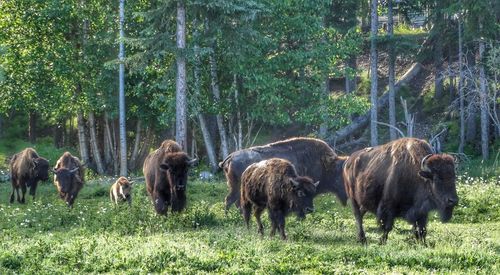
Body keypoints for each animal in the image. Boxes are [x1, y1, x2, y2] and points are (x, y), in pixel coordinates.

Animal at [219, 138, 348, 213]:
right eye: (340, 176)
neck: (325, 164)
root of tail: (231, 157)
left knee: (234, 201)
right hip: (237, 188)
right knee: (229, 200)